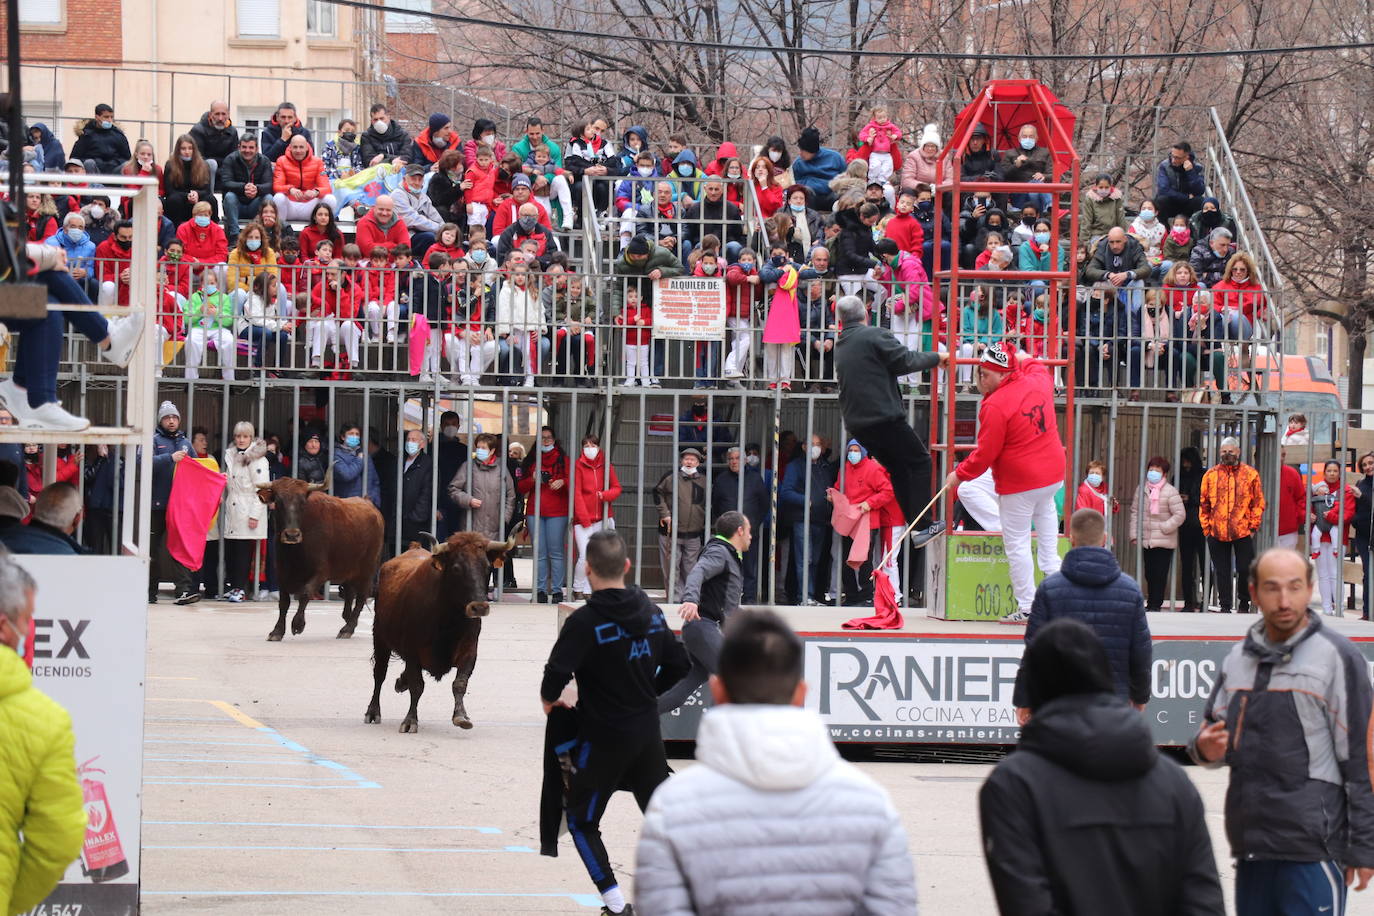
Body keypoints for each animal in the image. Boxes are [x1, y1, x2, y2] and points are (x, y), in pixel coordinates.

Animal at [254, 480, 384, 645]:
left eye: (302, 502)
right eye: (278, 501)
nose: (292, 535)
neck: (295, 552)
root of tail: (369, 504)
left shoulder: (321, 572)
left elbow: (305, 593)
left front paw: (297, 624)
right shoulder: (282, 572)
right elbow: (284, 602)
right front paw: (277, 631)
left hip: (367, 570)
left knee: (361, 597)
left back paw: (347, 629)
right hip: (348, 570)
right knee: (349, 594)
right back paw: (347, 620)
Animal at [365, 527, 519, 736]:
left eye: (488, 567)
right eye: (456, 568)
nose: (479, 607)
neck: (448, 620)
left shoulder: (469, 650)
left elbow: (460, 683)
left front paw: (461, 717)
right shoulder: (413, 652)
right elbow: (417, 686)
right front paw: (410, 720)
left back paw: (400, 683)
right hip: (380, 637)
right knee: (379, 674)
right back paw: (373, 712)